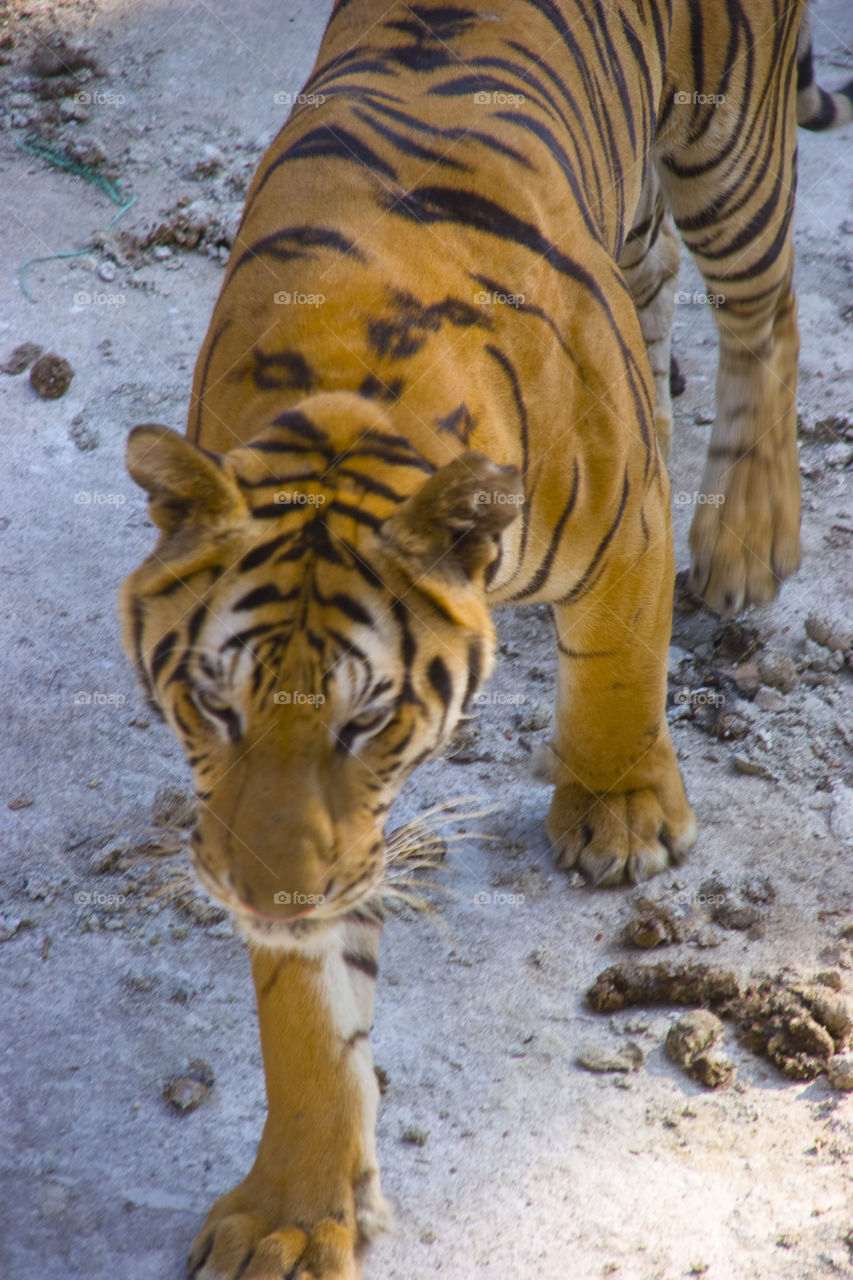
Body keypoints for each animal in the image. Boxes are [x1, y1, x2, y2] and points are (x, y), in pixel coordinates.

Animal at [119, 2, 850, 1280]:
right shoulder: (307, 834)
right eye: (213, 703)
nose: (266, 892)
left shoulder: (621, 522)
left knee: (766, 306)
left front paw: (618, 815)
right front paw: (293, 1213)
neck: (347, 395)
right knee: (662, 272)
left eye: (367, 719)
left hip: (730, 147)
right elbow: (309, 1017)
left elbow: (616, 670)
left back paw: (746, 536)